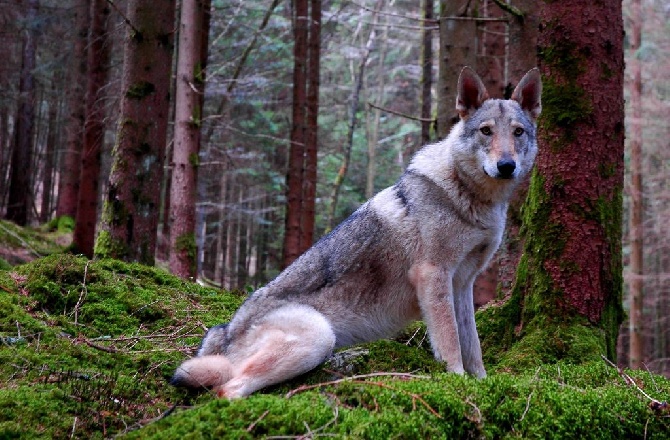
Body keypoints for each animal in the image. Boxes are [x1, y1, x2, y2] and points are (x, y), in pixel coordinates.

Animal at [171, 66, 544, 398]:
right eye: (486, 131)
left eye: (518, 133)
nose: (507, 166)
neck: (472, 198)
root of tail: (225, 331)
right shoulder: (433, 275)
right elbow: (450, 342)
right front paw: (456, 383)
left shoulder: (463, 284)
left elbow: (473, 345)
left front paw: (481, 383)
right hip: (318, 336)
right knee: (226, 391)